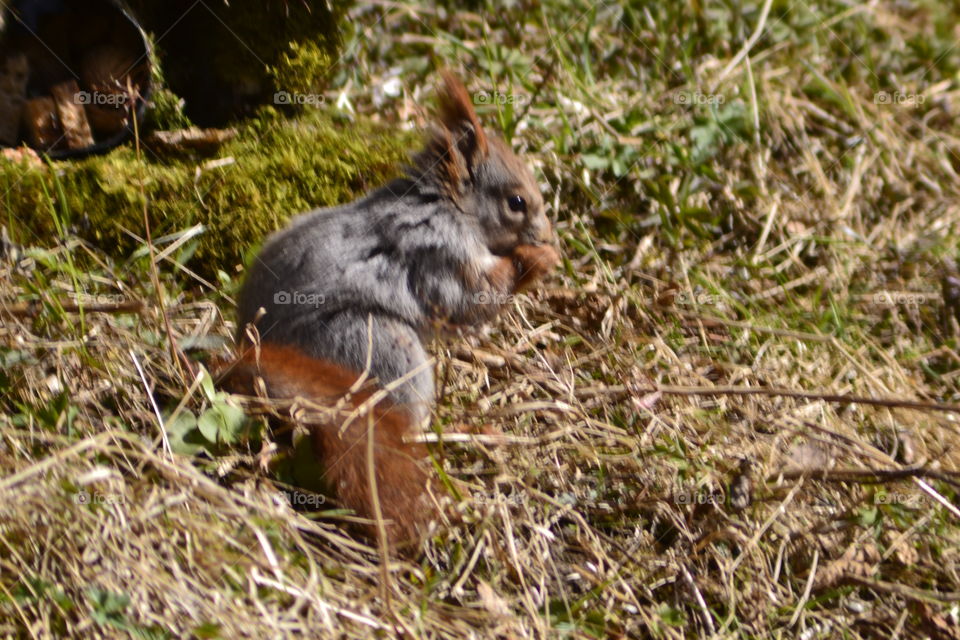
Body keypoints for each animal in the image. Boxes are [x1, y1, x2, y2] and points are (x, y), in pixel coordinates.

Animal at [218, 72, 560, 548]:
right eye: (517, 202)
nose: (547, 235)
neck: (450, 207)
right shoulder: (440, 256)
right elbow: (471, 298)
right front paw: (537, 260)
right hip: (378, 346)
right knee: (405, 420)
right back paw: (463, 437)